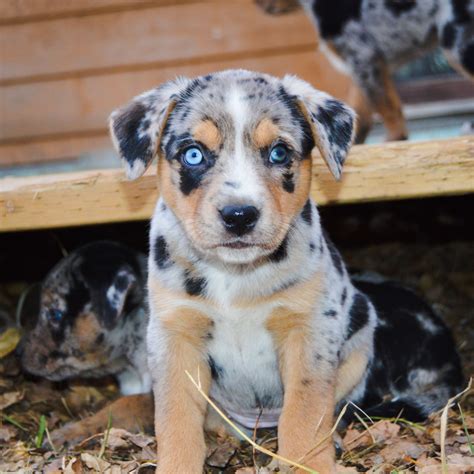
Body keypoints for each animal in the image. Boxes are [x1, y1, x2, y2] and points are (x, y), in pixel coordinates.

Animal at [256, 0, 474, 143]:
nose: (258, 5)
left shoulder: (364, 57)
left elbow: (385, 107)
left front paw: (394, 140)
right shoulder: (363, 67)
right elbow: (362, 108)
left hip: (455, 44)